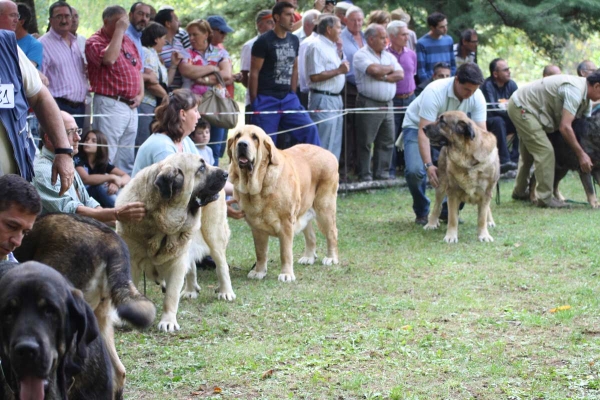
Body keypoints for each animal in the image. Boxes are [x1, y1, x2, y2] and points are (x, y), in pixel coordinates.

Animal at [227, 125, 340, 282]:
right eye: (238, 136)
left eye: (255, 137)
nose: (242, 144)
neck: (258, 185)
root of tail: (330, 154)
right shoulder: (256, 227)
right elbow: (260, 252)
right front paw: (259, 271)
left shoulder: (286, 224)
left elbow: (285, 252)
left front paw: (286, 274)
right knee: (311, 236)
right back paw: (308, 257)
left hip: (324, 209)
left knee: (332, 233)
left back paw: (331, 258)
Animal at [422, 110, 502, 244]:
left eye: (442, 121)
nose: (423, 128)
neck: (466, 155)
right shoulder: (452, 193)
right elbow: (452, 218)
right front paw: (451, 236)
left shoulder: (486, 192)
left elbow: (482, 217)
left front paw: (484, 235)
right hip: (442, 184)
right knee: (437, 205)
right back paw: (431, 223)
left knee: (487, 209)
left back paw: (489, 221)